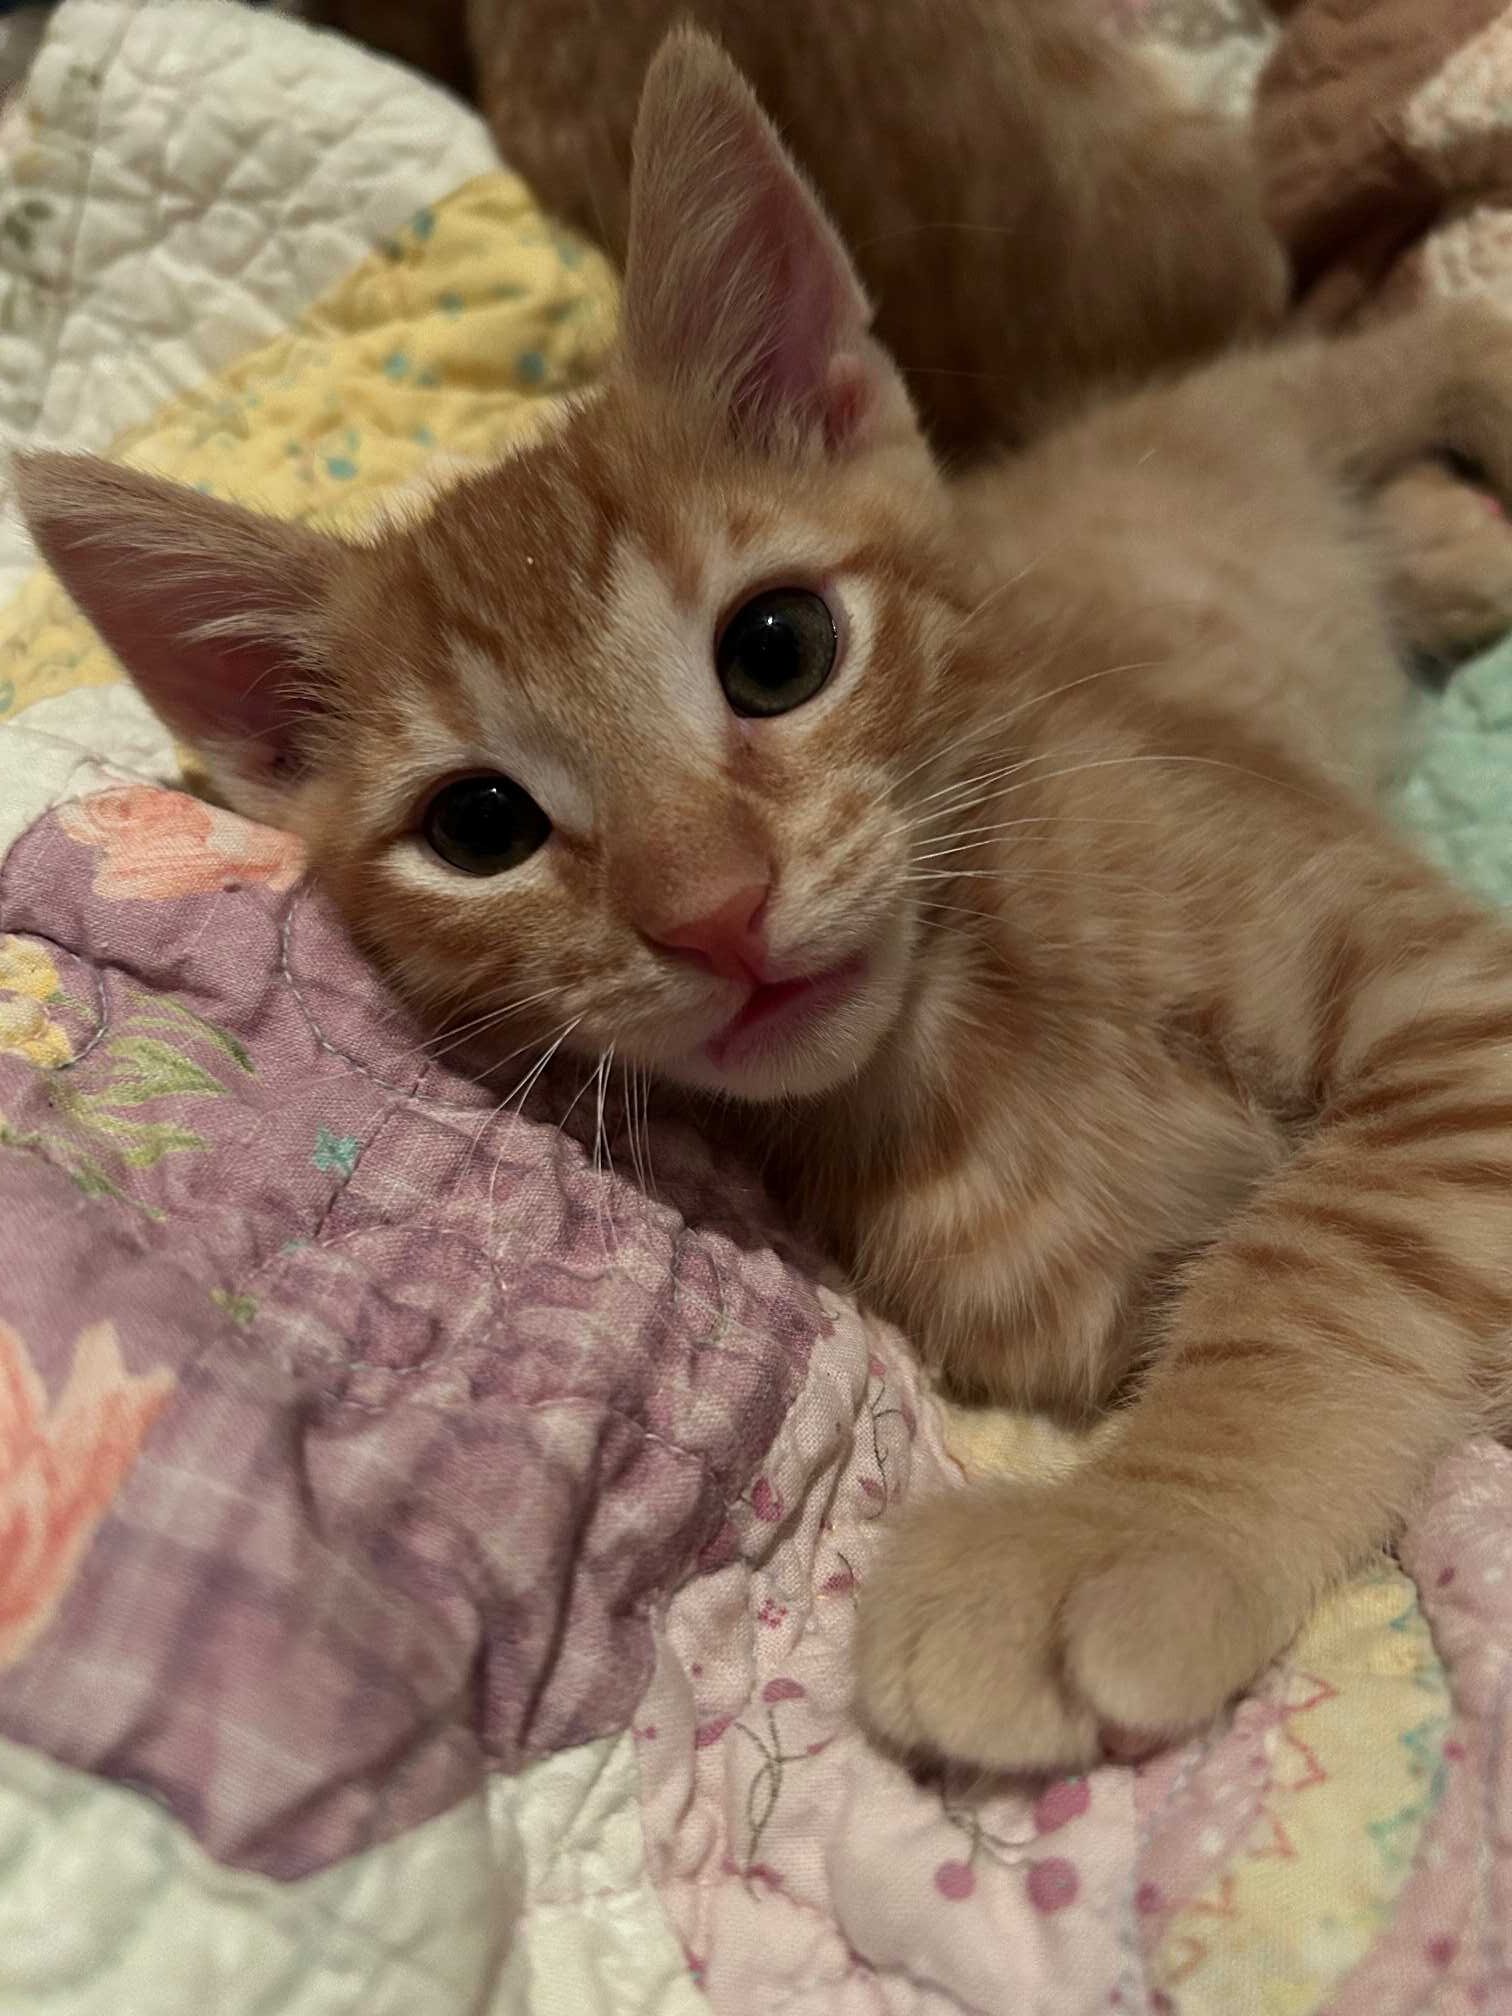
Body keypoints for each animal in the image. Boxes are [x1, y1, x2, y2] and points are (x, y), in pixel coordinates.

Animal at [18, 29, 1512, 1772]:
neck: (969, 1042)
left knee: (1348, 369)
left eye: (779, 649)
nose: (716, 909)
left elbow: (1317, 1260)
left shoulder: (1448, 991)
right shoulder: (1080, 1305)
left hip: (1253, 421)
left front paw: (1135, 1531)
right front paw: (1130, 1510)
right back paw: (1452, 542)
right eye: (479, 825)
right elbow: (1240, 1267)